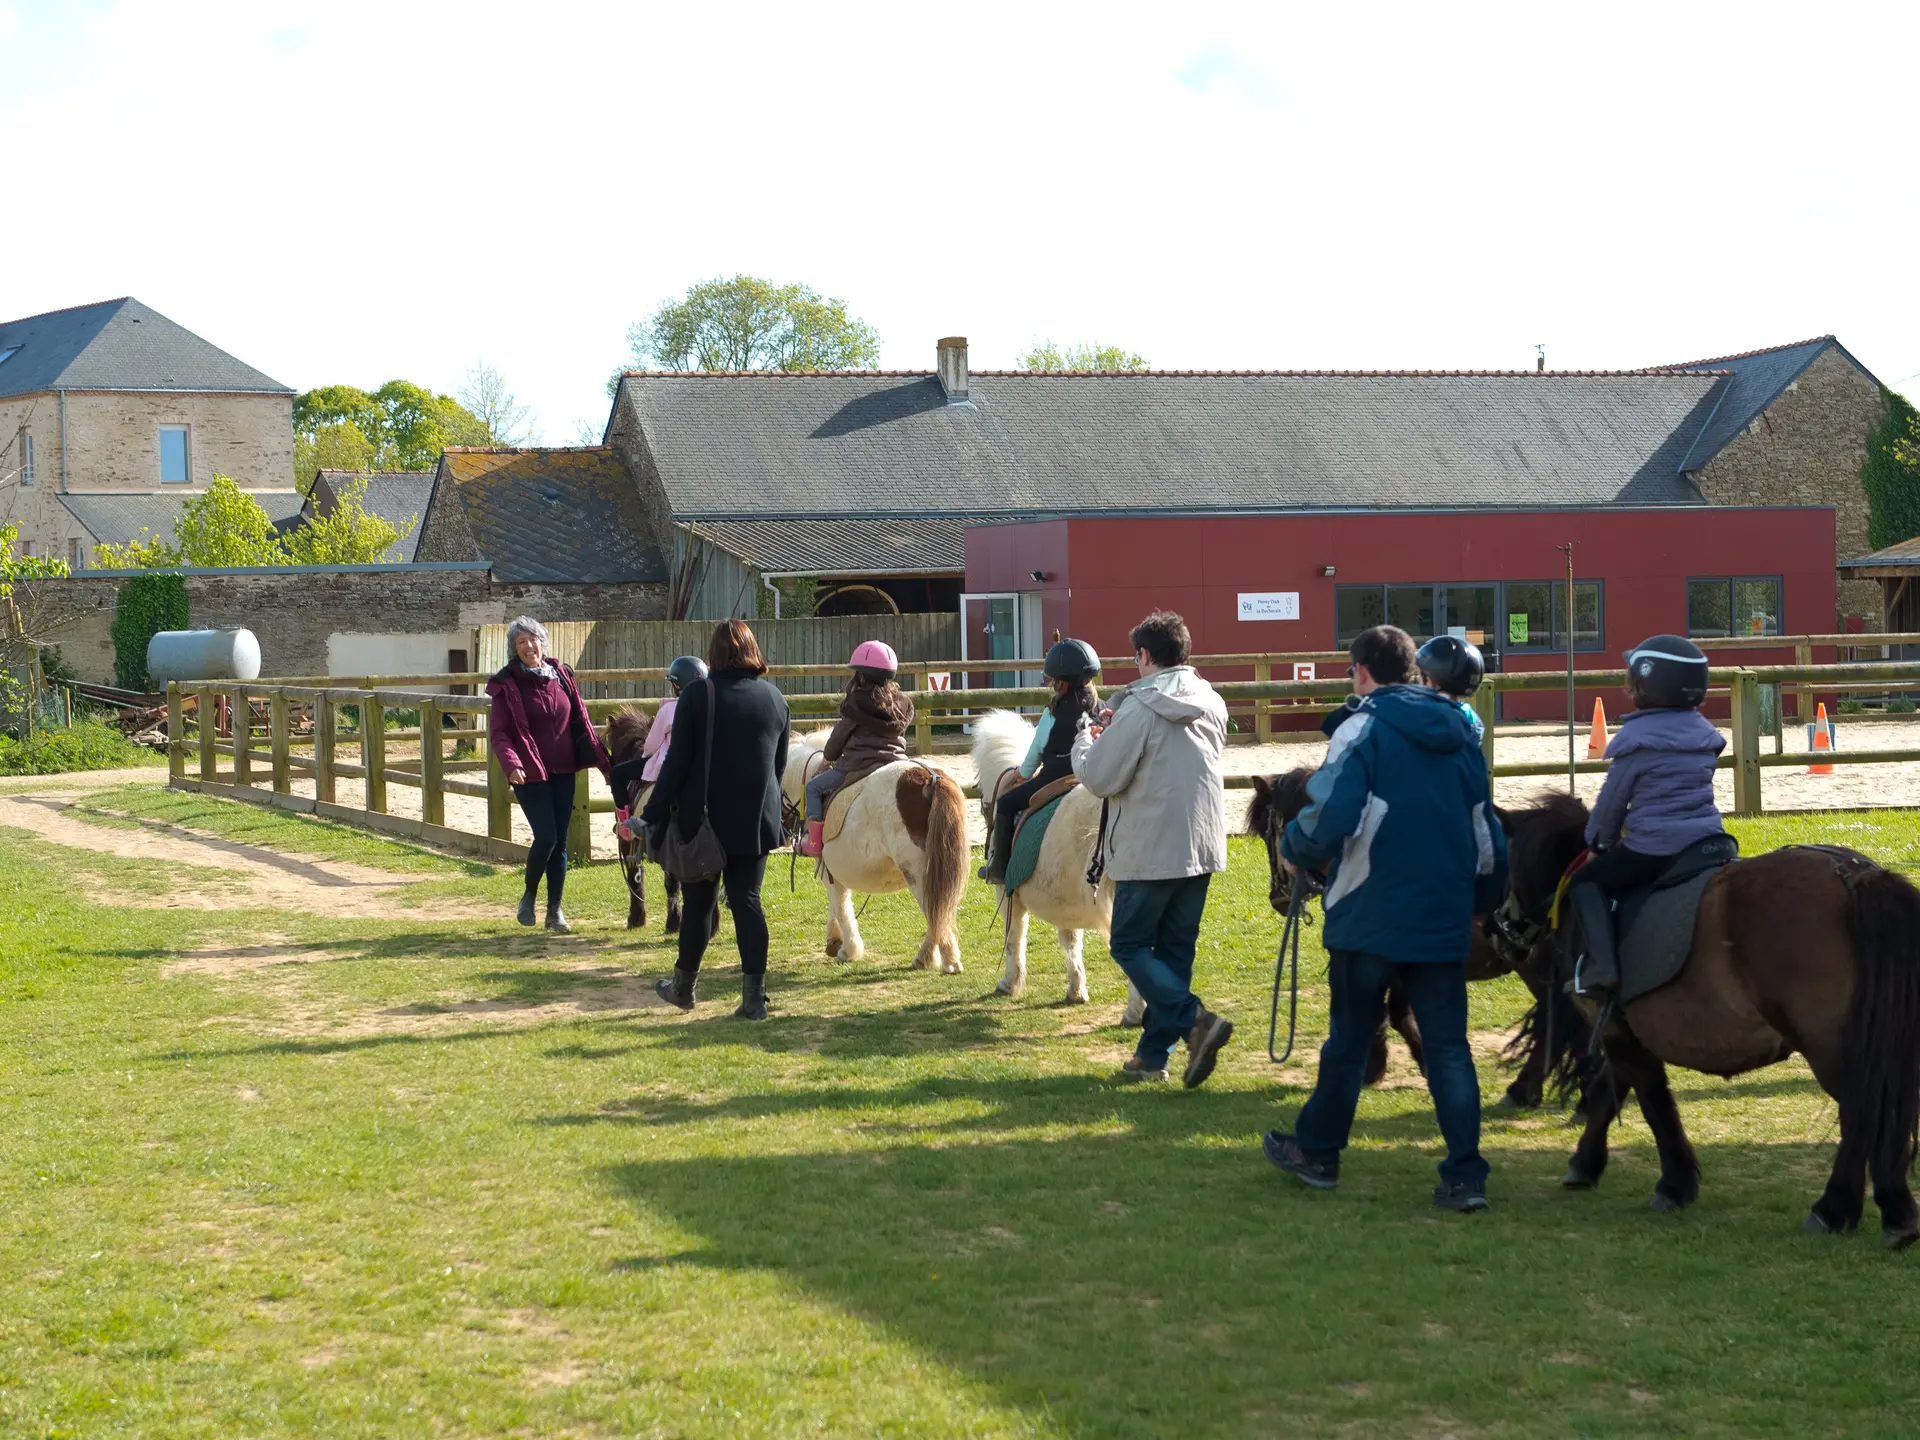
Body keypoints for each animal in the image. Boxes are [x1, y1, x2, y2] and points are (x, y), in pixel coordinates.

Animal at [779, 733, 967, 983]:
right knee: (941, 912)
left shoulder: (829, 870)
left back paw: (944, 961)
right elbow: (836, 904)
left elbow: (840, 905)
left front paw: (848, 949)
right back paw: (930, 958)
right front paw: (834, 941)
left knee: (935, 911)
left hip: (919, 873)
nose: (782, 836)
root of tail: (931, 778)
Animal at [967, 714, 1128, 1013]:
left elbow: (1014, 937)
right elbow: (1071, 941)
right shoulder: (1065, 900)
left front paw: (1010, 983)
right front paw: (1076, 990)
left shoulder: (1007, 894)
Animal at [1505, 794, 1920, 1244]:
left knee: (1862, 1112)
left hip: (1830, 1047)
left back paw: (1840, 1208)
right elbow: (1606, 1093)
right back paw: (1885, 1210)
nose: (1502, 927)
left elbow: (1654, 1103)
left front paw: (1674, 1184)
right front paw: (1585, 1164)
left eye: (1504, 862)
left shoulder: (1616, 1032)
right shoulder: (1624, 1031)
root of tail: (1854, 875)